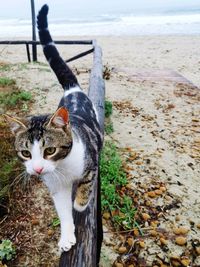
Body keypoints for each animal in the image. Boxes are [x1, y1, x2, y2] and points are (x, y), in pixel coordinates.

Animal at [3, 4, 102, 253]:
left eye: (50, 150)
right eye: (25, 153)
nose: (37, 169)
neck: (62, 168)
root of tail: (72, 89)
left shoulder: (90, 162)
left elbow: (85, 187)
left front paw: (79, 203)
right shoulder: (56, 186)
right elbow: (63, 210)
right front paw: (66, 236)